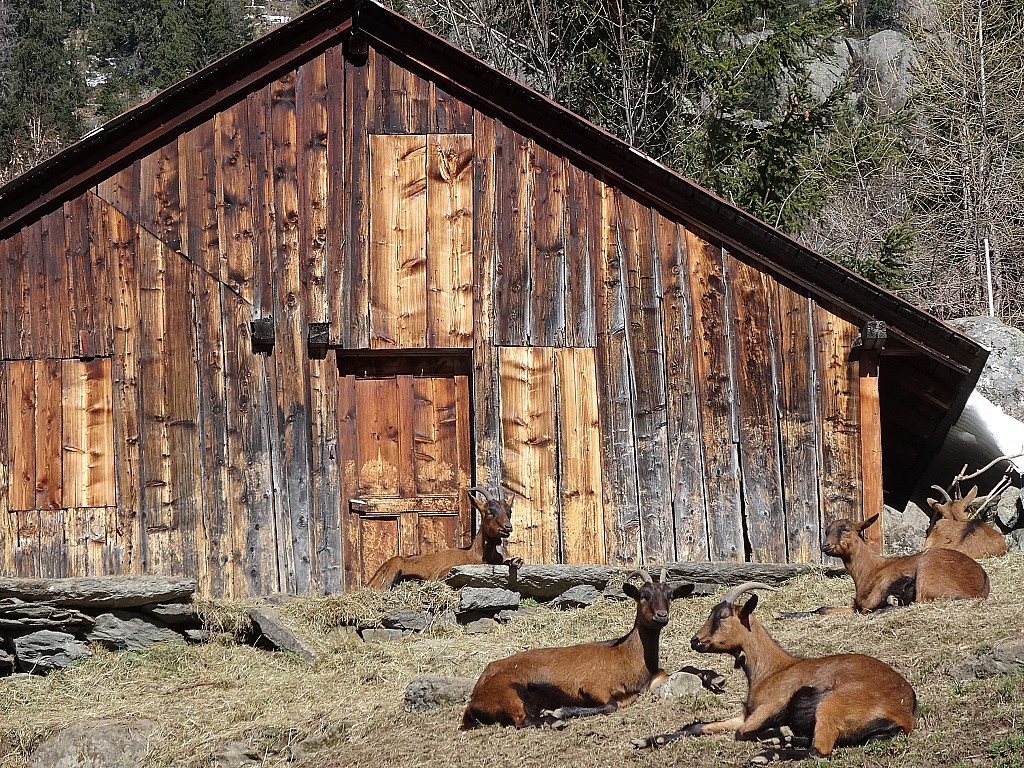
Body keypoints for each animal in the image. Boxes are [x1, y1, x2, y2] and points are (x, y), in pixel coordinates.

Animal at [366, 489, 520, 593]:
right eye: (489, 512)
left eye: (509, 512)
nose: (507, 527)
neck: (475, 554)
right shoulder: (442, 572)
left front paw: (516, 562)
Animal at [460, 569, 724, 729]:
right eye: (643, 595)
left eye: (670, 595)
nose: (661, 616)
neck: (627, 654)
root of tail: (476, 696)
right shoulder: (594, 686)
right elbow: (610, 706)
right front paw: (562, 711)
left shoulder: (652, 680)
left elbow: (685, 667)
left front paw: (716, 679)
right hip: (510, 693)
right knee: (523, 720)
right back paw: (554, 718)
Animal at [634, 581, 917, 765]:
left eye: (723, 616)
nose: (695, 640)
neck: (771, 670)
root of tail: (905, 712)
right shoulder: (747, 713)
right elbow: (700, 726)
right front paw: (649, 740)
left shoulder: (768, 708)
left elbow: (741, 733)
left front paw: (779, 733)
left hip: (831, 705)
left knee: (819, 751)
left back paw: (770, 751)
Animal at [782, 514, 983, 618]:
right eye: (826, 531)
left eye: (846, 529)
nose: (825, 546)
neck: (870, 570)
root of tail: (981, 584)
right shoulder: (855, 607)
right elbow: (822, 609)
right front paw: (784, 613)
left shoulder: (866, 606)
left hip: (927, 575)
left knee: (916, 603)